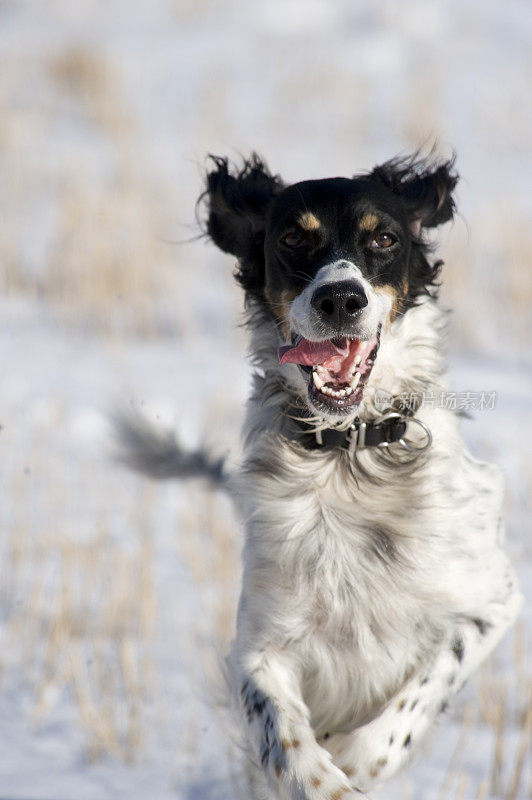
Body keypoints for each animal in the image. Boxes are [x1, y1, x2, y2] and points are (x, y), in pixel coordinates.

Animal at [118, 153, 520, 796]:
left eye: (383, 238)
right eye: (291, 238)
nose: (340, 299)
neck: (348, 453)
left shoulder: (493, 600)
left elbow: (419, 694)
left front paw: (358, 759)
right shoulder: (259, 646)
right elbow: (282, 733)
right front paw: (325, 778)